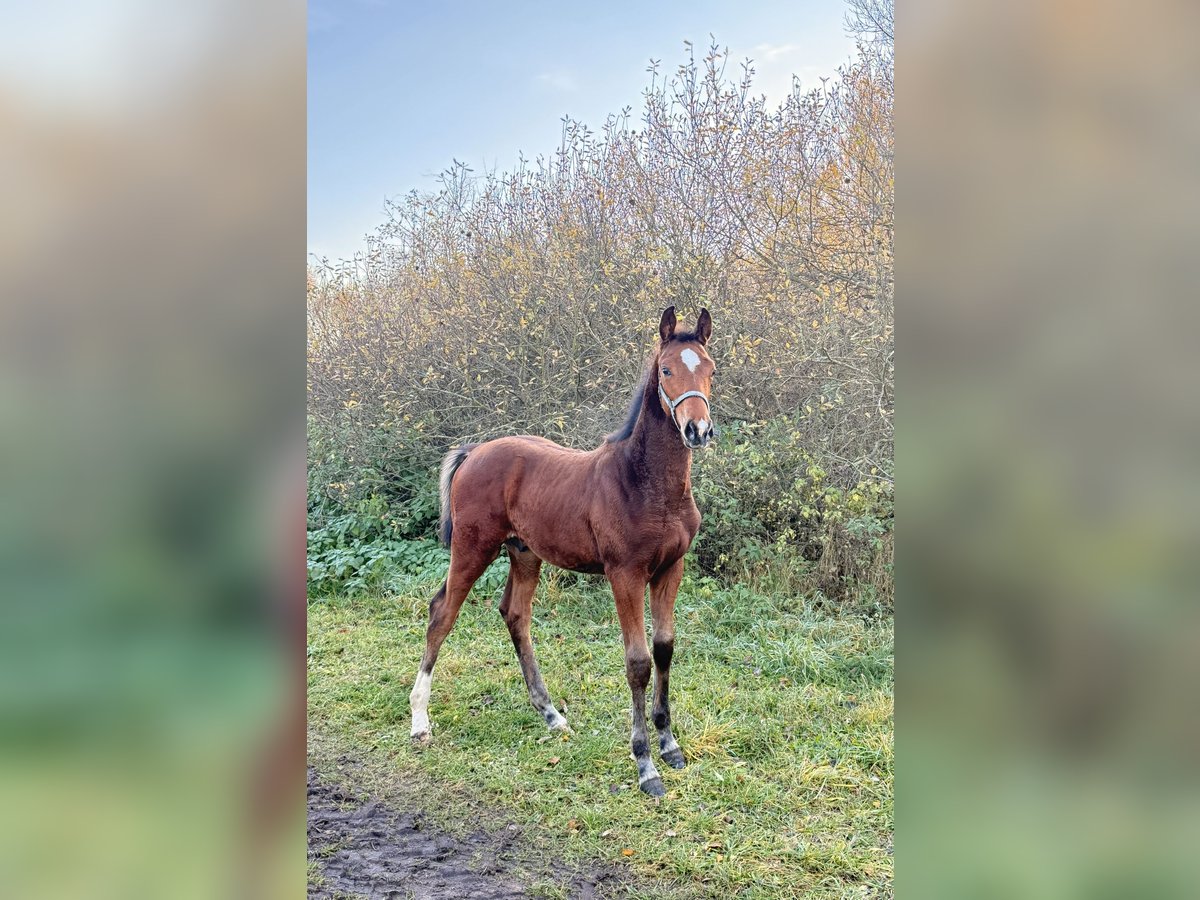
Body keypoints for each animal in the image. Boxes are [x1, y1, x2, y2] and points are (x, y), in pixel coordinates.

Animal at [409, 306, 717, 797]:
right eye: (667, 370)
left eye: (710, 369)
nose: (697, 429)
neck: (645, 484)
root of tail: (475, 450)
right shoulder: (624, 574)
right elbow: (637, 662)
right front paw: (645, 765)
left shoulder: (671, 568)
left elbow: (664, 649)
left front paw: (670, 745)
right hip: (472, 547)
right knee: (442, 612)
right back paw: (420, 721)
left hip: (524, 552)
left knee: (515, 613)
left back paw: (550, 713)